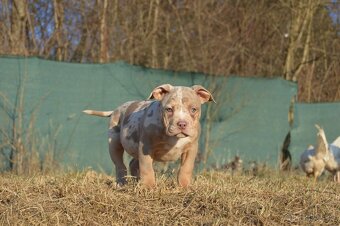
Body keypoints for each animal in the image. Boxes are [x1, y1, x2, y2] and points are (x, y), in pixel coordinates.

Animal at [83, 83, 214, 187]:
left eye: (193, 109)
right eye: (169, 109)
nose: (182, 124)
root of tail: (117, 109)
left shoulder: (191, 149)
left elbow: (186, 168)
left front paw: (184, 187)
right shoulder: (145, 147)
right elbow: (147, 169)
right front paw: (149, 187)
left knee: (133, 164)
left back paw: (136, 182)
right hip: (114, 142)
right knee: (120, 165)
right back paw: (121, 184)